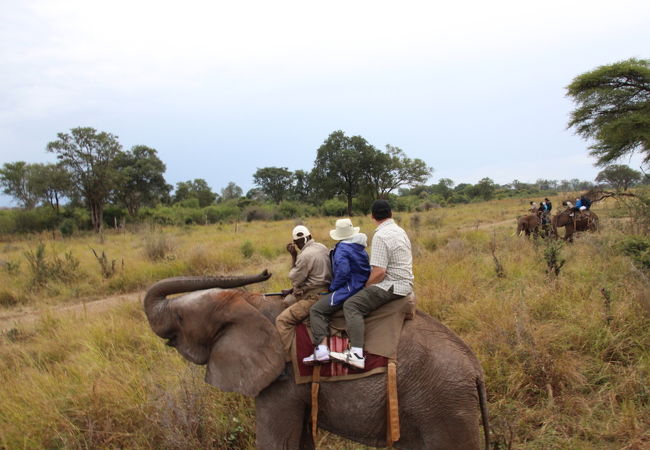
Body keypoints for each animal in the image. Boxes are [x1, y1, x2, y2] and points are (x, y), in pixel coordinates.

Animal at [142, 270, 486, 450]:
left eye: (182, 317)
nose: (265, 272)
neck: (249, 303)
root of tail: (476, 370)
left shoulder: (281, 381)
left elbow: (274, 442)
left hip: (444, 404)